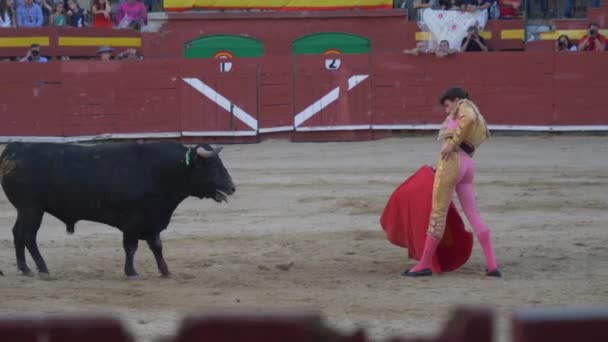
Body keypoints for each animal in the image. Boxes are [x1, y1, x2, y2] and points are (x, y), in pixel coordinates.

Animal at [0, 141, 235, 278]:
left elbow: (156, 246)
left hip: (24, 209)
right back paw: (42, 268)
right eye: (213, 167)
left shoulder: (152, 219)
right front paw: (131, 272)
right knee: (28, 235)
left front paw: (166, 271)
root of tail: (13, 150)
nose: (232, 187)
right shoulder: (133, 220)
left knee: (17, 233)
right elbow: (131, 247)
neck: (160, 170)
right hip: (32, 208)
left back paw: (24, 268)